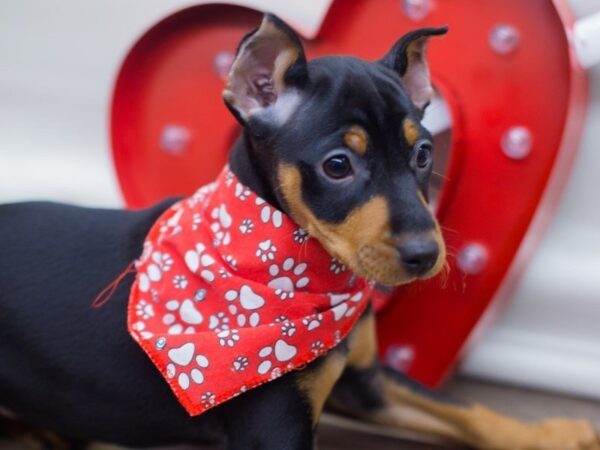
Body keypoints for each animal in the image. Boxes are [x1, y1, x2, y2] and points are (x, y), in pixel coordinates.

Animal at [1, 13, 600, 450]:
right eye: (337, 166)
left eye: (424, 153)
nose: (426, 255)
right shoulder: (275, 428)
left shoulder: (366, 380)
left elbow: (460, 408)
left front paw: (556, 433)